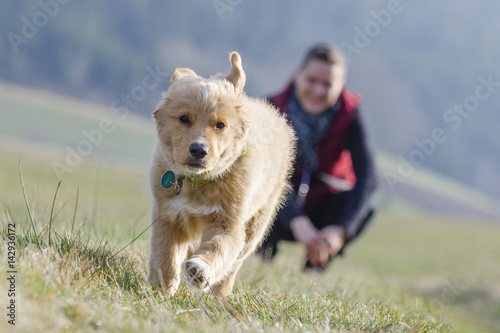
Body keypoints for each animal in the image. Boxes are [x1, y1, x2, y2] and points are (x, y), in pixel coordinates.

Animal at [148, 52, 296, 296]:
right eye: (184, 118)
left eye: (220, 125)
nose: (199, 150)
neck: (198, 183)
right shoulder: (168, 215)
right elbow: (166, 256)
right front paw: (161, 291)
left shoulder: (229, 222)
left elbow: (219, 248)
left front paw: (200, 269)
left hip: (257, 223)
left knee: (234, 264)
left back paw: (221, 295)